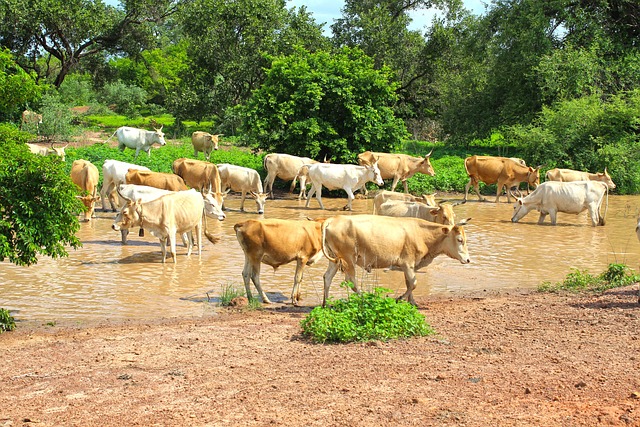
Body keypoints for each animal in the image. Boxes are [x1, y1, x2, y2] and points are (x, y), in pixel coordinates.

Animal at [320, 216, 470, 306]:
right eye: (459, 239)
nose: (468, 259)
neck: (421, 234)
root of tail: (333, 219)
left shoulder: (408, 266)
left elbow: (409, 283)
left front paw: (412, 302)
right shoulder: (407, 263)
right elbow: (414, 283)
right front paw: (400, 298)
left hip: (335, 259)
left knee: (327, 277)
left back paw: (326, 304)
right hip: (348, 259)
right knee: (351, 281)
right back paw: (366, 299)